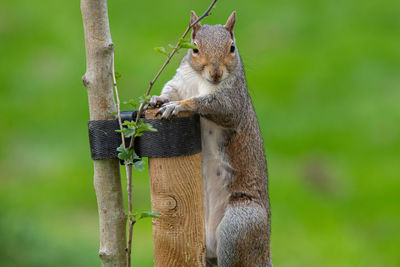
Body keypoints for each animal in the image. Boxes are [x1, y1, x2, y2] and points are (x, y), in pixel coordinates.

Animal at [150, 11, 272, 267]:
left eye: (232, 47)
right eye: (194, 48)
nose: (216, 74)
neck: (200, 81)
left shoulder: (233, 100)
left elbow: (210, 104)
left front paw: (178, 106)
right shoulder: (180, 82)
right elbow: (170, 91)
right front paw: (157, 99)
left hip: (238, 227)